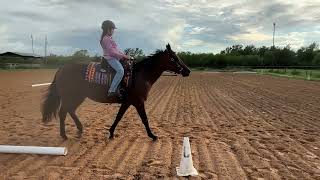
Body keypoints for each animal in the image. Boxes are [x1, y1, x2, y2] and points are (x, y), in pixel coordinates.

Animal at [40, 43, 190, 141]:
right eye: (174, 58)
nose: (187, 71)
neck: (138, 75)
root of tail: (62, 68)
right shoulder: (138, 102)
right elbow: (144, 119)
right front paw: (152, 135)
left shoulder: (127, 102)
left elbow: (119, 117)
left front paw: (111, 133)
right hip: (70, 96)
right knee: (63, 112)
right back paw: (64, 135)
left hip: (79, 96)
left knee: (70, 110)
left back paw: (79, 129)